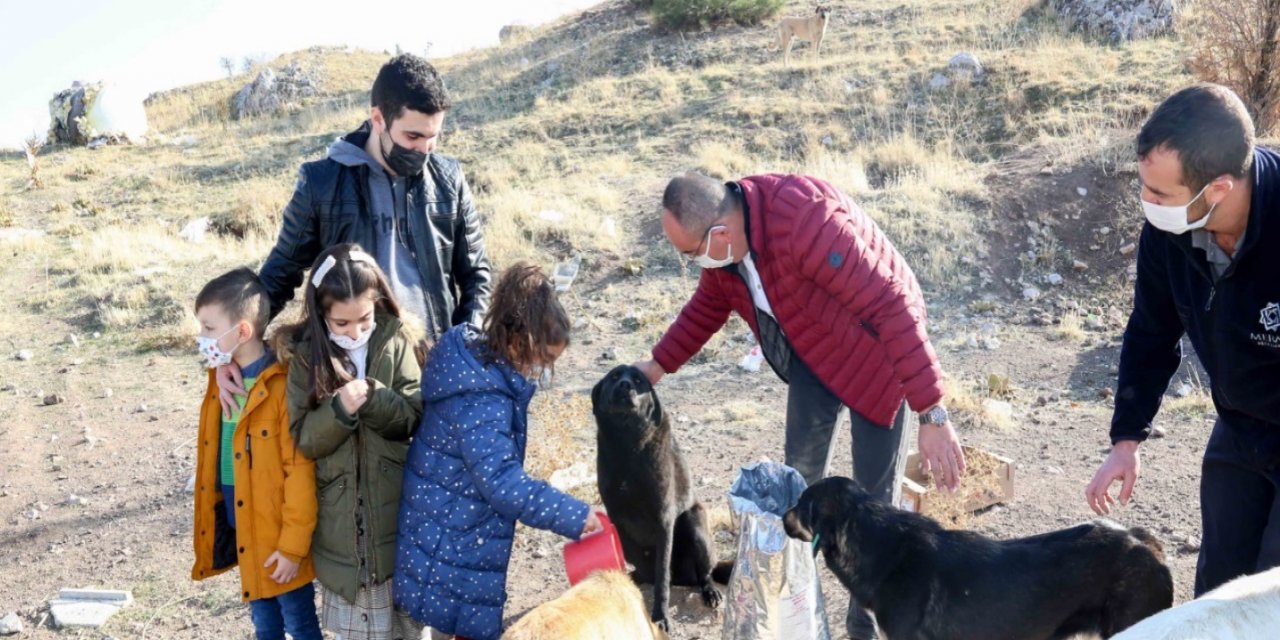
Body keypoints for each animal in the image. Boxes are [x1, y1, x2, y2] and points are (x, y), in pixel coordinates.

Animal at [588, 366, 732, 629]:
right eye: (614, 377)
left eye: (638, 380)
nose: (625, 385)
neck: (627, 444)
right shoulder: (617, 519)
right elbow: (641, 564)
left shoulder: (663, 520)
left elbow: (662, 575)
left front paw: (660, 616)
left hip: (695, 522)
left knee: (705, 573)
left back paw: (709, 591)